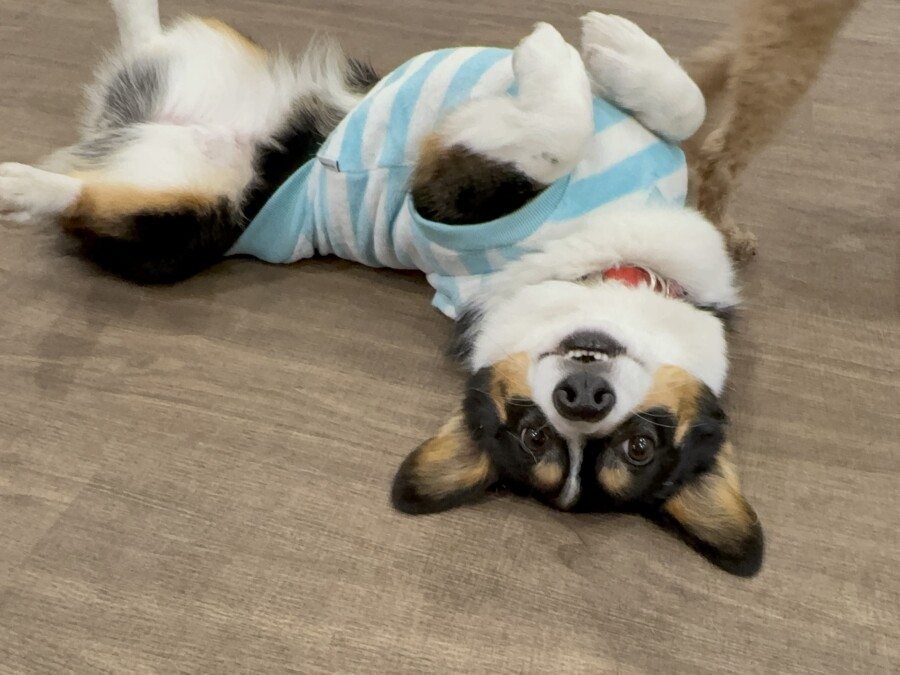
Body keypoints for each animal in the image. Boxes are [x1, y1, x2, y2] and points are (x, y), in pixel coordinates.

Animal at [0, 1, 763, 576]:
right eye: (539, 433)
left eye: (637, 447)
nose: (583, 397)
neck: (616, 259)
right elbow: (683, 110)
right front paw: (605, 47)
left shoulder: (445, 195)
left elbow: (554, 139)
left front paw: (552, 56)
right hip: (213, 62)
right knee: (143, 44)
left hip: (180, 219)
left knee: (86, 201)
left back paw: (19, 187)